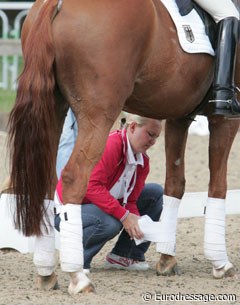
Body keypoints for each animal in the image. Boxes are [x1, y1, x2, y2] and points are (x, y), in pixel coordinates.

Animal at [8, 0, 239, 292]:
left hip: (53, 107)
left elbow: (175, 184)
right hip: (98, 114)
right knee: (72, 179)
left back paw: (47, 272)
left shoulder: (178, 116)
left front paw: (167, 258)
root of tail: (56, 4)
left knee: (47, 185)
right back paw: (78, 276)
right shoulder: (224, 120)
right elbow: (218, 187)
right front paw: (221, 263)